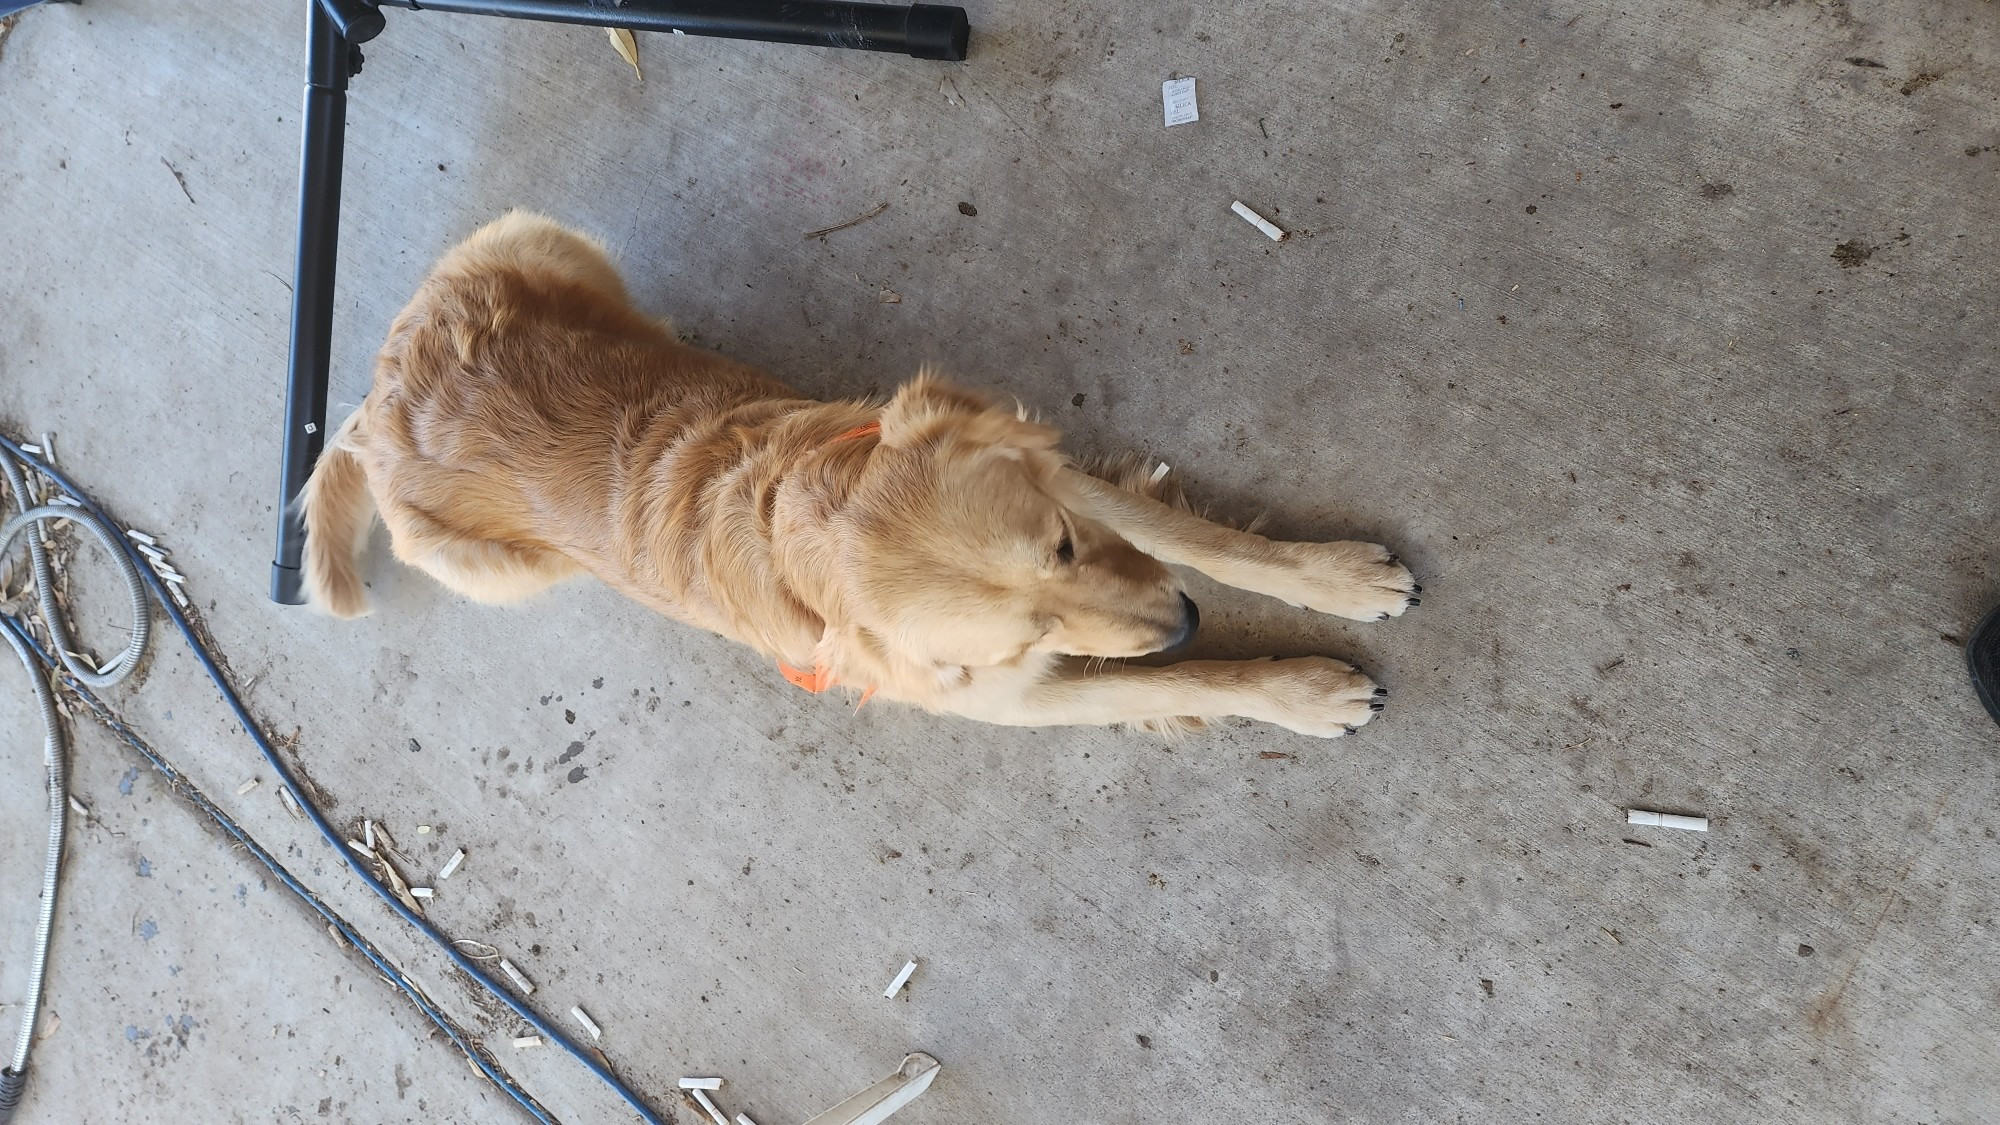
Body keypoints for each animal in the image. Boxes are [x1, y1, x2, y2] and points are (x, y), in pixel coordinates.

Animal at [304, 212, 1416, 736]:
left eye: (1060, 548)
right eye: (1027, 636)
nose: (1182, 622)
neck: (803, 516)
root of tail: (372, 401)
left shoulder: (1055, 478)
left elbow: (1197, 537)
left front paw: (1332, 577)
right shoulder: (1003, 697)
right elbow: (1173, 683)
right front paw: (1298, 690)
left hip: (539, 239)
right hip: (494, 572)